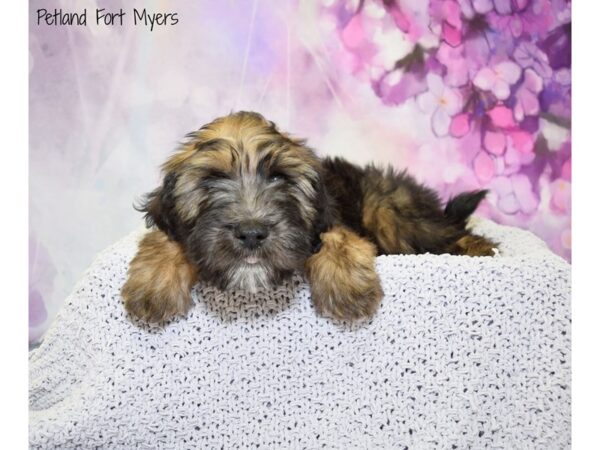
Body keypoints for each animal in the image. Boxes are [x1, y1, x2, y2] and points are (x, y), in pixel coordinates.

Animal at [120, 112, 492, 324]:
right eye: (211, 180)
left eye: (279, 177)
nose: (252, 233)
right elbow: (162, 236)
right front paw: (152, 283)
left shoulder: (333, 216)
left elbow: (335, 235)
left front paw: (346, 282)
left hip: (389, 213)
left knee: (448, 230)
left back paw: (479, 248)